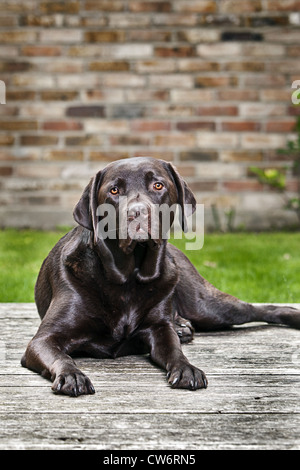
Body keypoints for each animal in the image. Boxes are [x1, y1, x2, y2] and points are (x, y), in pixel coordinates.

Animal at [21, 156, 300, 394]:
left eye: (158, 185)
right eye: (114, 191)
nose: (138, 213)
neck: (128, 280)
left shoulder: (159, 329)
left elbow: (173, 350)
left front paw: (187, 369)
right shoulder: (43, 340)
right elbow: (61, 356)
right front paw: (72, 375)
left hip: (207, 306)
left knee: (260, 308)